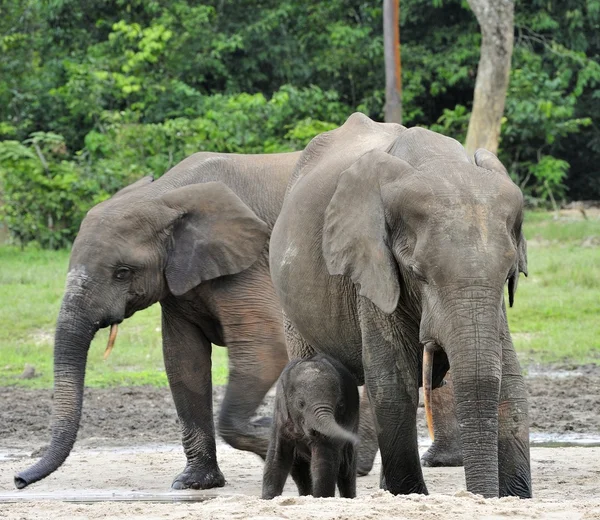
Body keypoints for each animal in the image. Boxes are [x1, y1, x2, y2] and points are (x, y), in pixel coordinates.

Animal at [15, 148, 300, 490]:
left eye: (122, 273)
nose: (18, 480)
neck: (164, 195)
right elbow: (183, 360)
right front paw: (194, 483)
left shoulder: (250, 264)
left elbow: (264, 349)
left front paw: (274, 436)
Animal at [260, 354, 358, 500]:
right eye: (301, 404)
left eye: (340, 404)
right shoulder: (280, 415)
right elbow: (277, 456)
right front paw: (268, 498)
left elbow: (322, 460)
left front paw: (321, 498)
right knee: (300, 471)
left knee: (347, 470)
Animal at [270, 111, 532, 498]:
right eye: (417, 273)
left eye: (508, 274)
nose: (480, 496)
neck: (438, 162)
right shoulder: (373, 267)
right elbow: (393, 383)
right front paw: (409, 494)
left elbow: (510, 381)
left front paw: (516, 496)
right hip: (290, 301)